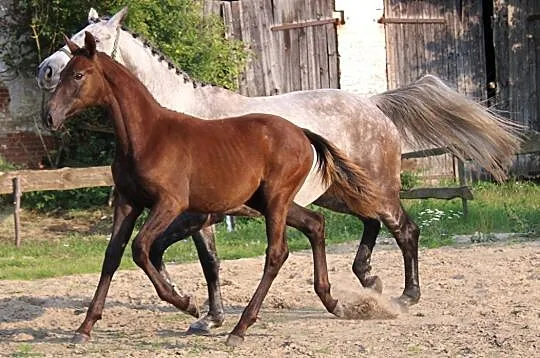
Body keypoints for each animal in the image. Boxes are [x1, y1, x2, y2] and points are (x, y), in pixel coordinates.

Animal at [45, 32, 380, 346]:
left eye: (78, 75)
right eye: (63, 75)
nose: (49, 116)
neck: (147, 136)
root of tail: (301, 132)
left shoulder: (171, 203)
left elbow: (141, 248)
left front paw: (186, 304)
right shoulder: (128, 202)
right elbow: (112, 255)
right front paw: (84, 327)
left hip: (276, 199)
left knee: (277, 252)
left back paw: (240, 328)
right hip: (266, 201)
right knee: (315, 224)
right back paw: (332, 301)